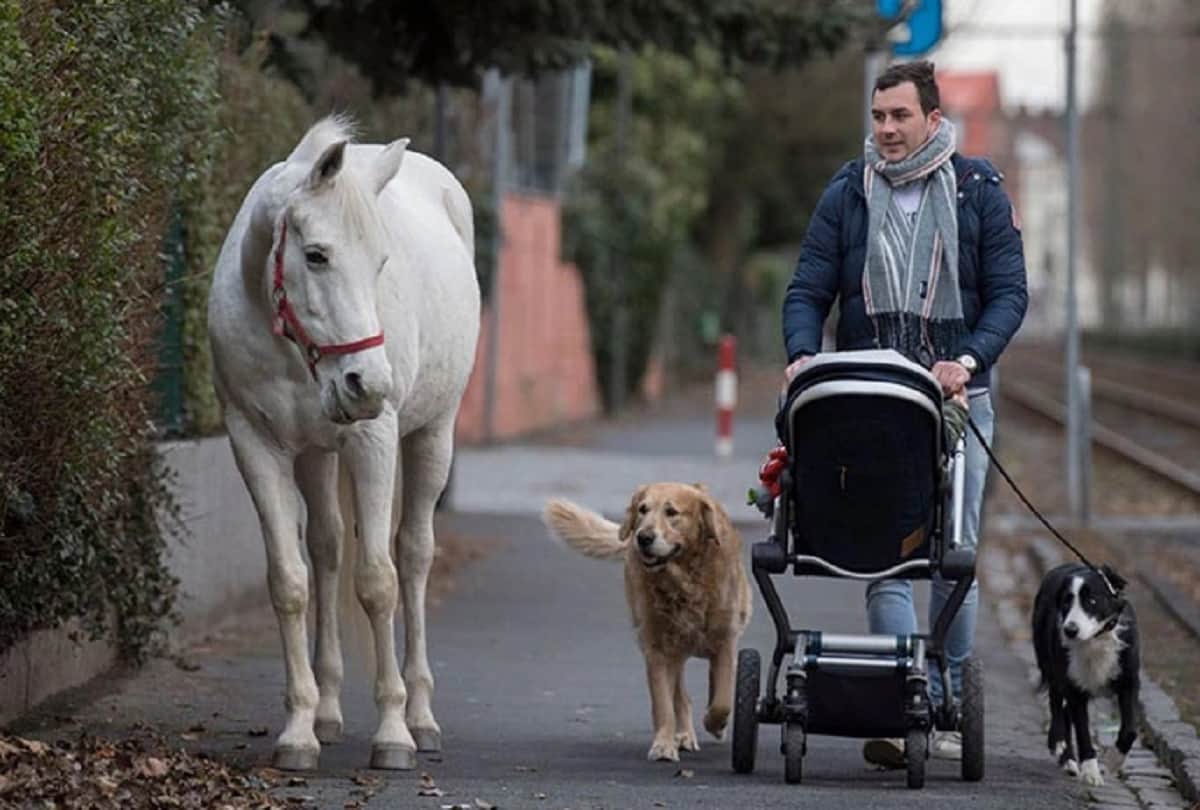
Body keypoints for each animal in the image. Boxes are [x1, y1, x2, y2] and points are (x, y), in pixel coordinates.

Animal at [207, 117, 480, 770]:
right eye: (317, 255)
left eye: (381, 261)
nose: (368, 385)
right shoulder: (254, 443)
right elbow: (289, 582)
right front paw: (298, 731)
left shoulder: (372, 441)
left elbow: (379, 581)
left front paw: (393, 733)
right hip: (315, 455)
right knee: (328, 549)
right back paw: (327, 712)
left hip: (433, 436)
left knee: (413, 555)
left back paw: (422, 716)